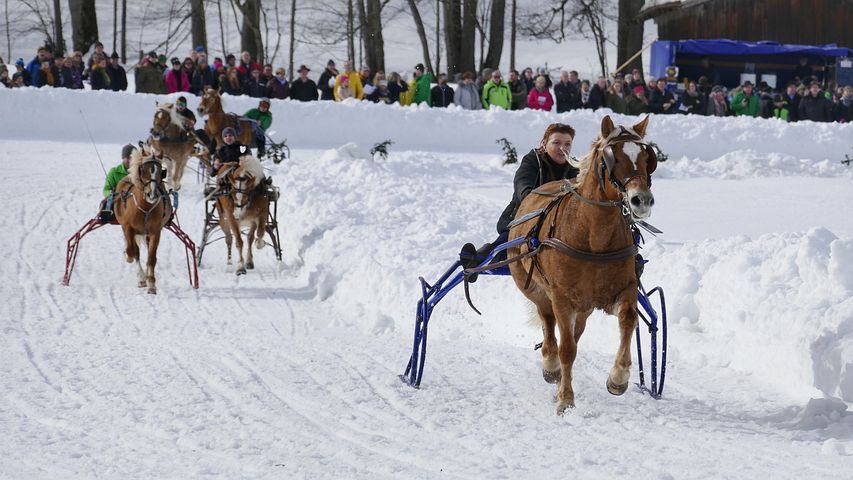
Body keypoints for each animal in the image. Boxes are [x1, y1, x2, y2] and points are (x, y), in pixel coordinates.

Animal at [113, 145, 173, 292]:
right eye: (144, 170)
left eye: (161, 172)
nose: (152, 194)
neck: (145, 207)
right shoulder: (128, 228)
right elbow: (132, 251)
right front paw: (129, 259)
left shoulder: (155, 232)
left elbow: (151, 258)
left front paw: (151, 283)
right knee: (135, 251)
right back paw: (140, 277)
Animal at [506, 114, 660, 414]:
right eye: (612, 157)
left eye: (647, 157)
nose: (642, 200)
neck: (593, 236)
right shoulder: (561, 297)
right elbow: (566, 348)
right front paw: (566, 399)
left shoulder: (623, 288)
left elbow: (628, 320)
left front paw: (618, 378)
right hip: (533, 288)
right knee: (549, 325)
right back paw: (551, 366)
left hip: (585, 306)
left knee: (574, 335)